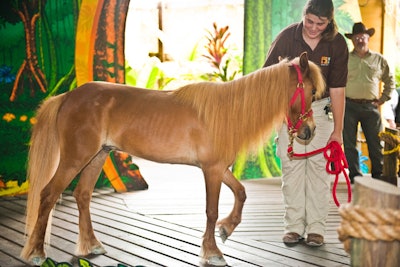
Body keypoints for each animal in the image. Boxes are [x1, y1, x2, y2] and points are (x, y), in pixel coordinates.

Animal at [20, 51, 324, 266]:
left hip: (97, 156)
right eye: (310, 91)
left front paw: (226, 229)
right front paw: (212, 252)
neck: (227, 112)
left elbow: (241, 192)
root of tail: (67, 96)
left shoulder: (218, 168)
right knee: (48, 194)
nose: (309, 131)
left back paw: (92, 245)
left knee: (82, 195)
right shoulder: (211, 171)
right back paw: (36, 252)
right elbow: (211, 211)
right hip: (76, 157)